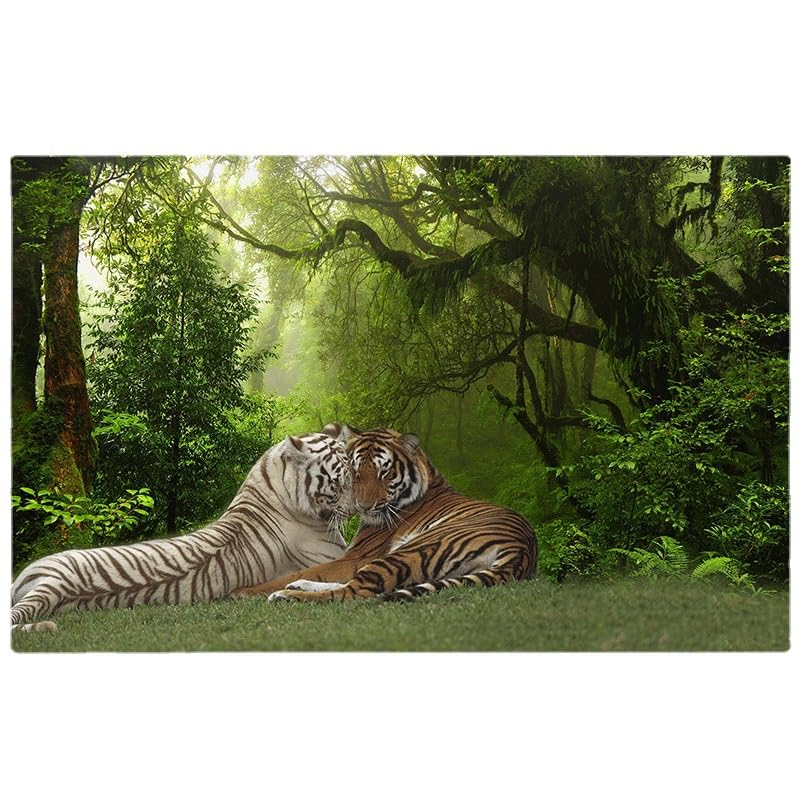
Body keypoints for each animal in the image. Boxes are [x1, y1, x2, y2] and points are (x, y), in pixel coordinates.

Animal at [233, 425, 538, 603]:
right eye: (355, 471)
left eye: (384, 472)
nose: (363, 507)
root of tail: (521, 549)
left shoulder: (357, 556)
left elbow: (311, 570)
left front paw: (244, 590)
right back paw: (296, 587)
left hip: (412, 549)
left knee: (356, 591)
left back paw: (285, 595)